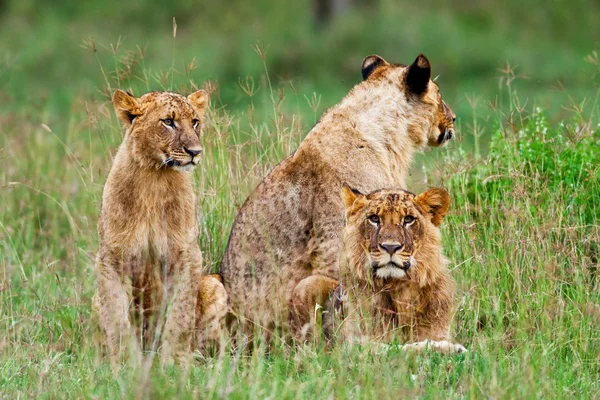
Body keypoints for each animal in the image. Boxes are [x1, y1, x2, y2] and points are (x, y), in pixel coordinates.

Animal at [91, 87, 209, 368]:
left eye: (195, 122)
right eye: (168, 122)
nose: (196, 151)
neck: (154, 177)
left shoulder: (187, 255)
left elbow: (179, 316)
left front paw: (174, 365)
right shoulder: (110, 257)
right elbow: (117, 317)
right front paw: (124, 366)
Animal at [322, 184, 466, 354]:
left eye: (408, 219)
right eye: (374, 218)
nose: (390, 247)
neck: (398, 287)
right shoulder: (350, 344)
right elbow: (396, 348)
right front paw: (449, 348)